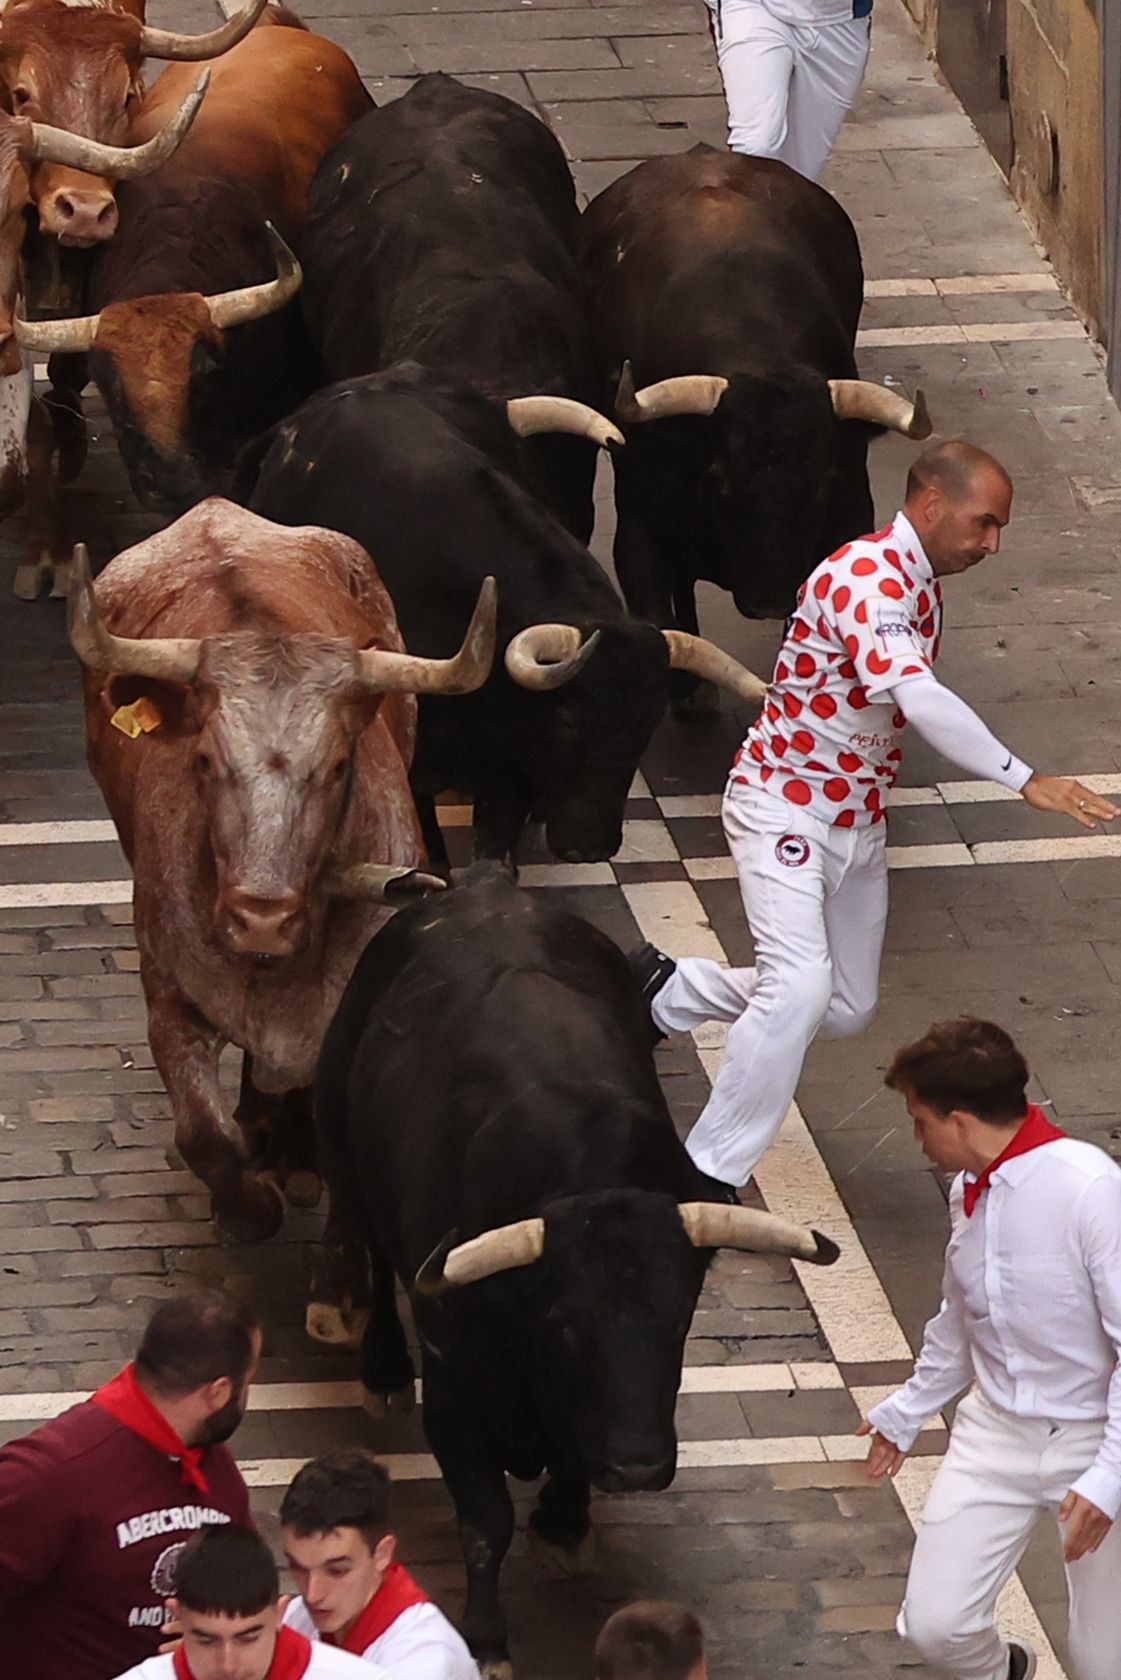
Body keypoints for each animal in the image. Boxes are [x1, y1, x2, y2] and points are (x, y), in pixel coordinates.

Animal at [66, 497, 494, 1263]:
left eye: (337, 764)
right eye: (204, 759)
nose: (259, 915)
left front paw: (295, 1157)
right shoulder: (168, 1001)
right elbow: (203, 1138)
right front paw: (246, 1200)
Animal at [310, 873, 836, 1673]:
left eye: (679, 1316)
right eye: (563, 1323)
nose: (639, 1468)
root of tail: (484, 884)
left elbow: (568, 1462)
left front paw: (564, 1524)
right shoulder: (454, 1392)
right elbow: (484, 1522)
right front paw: (487, 1642)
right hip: (340, 1145)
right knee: (366, 1248)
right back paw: (382, 1372)